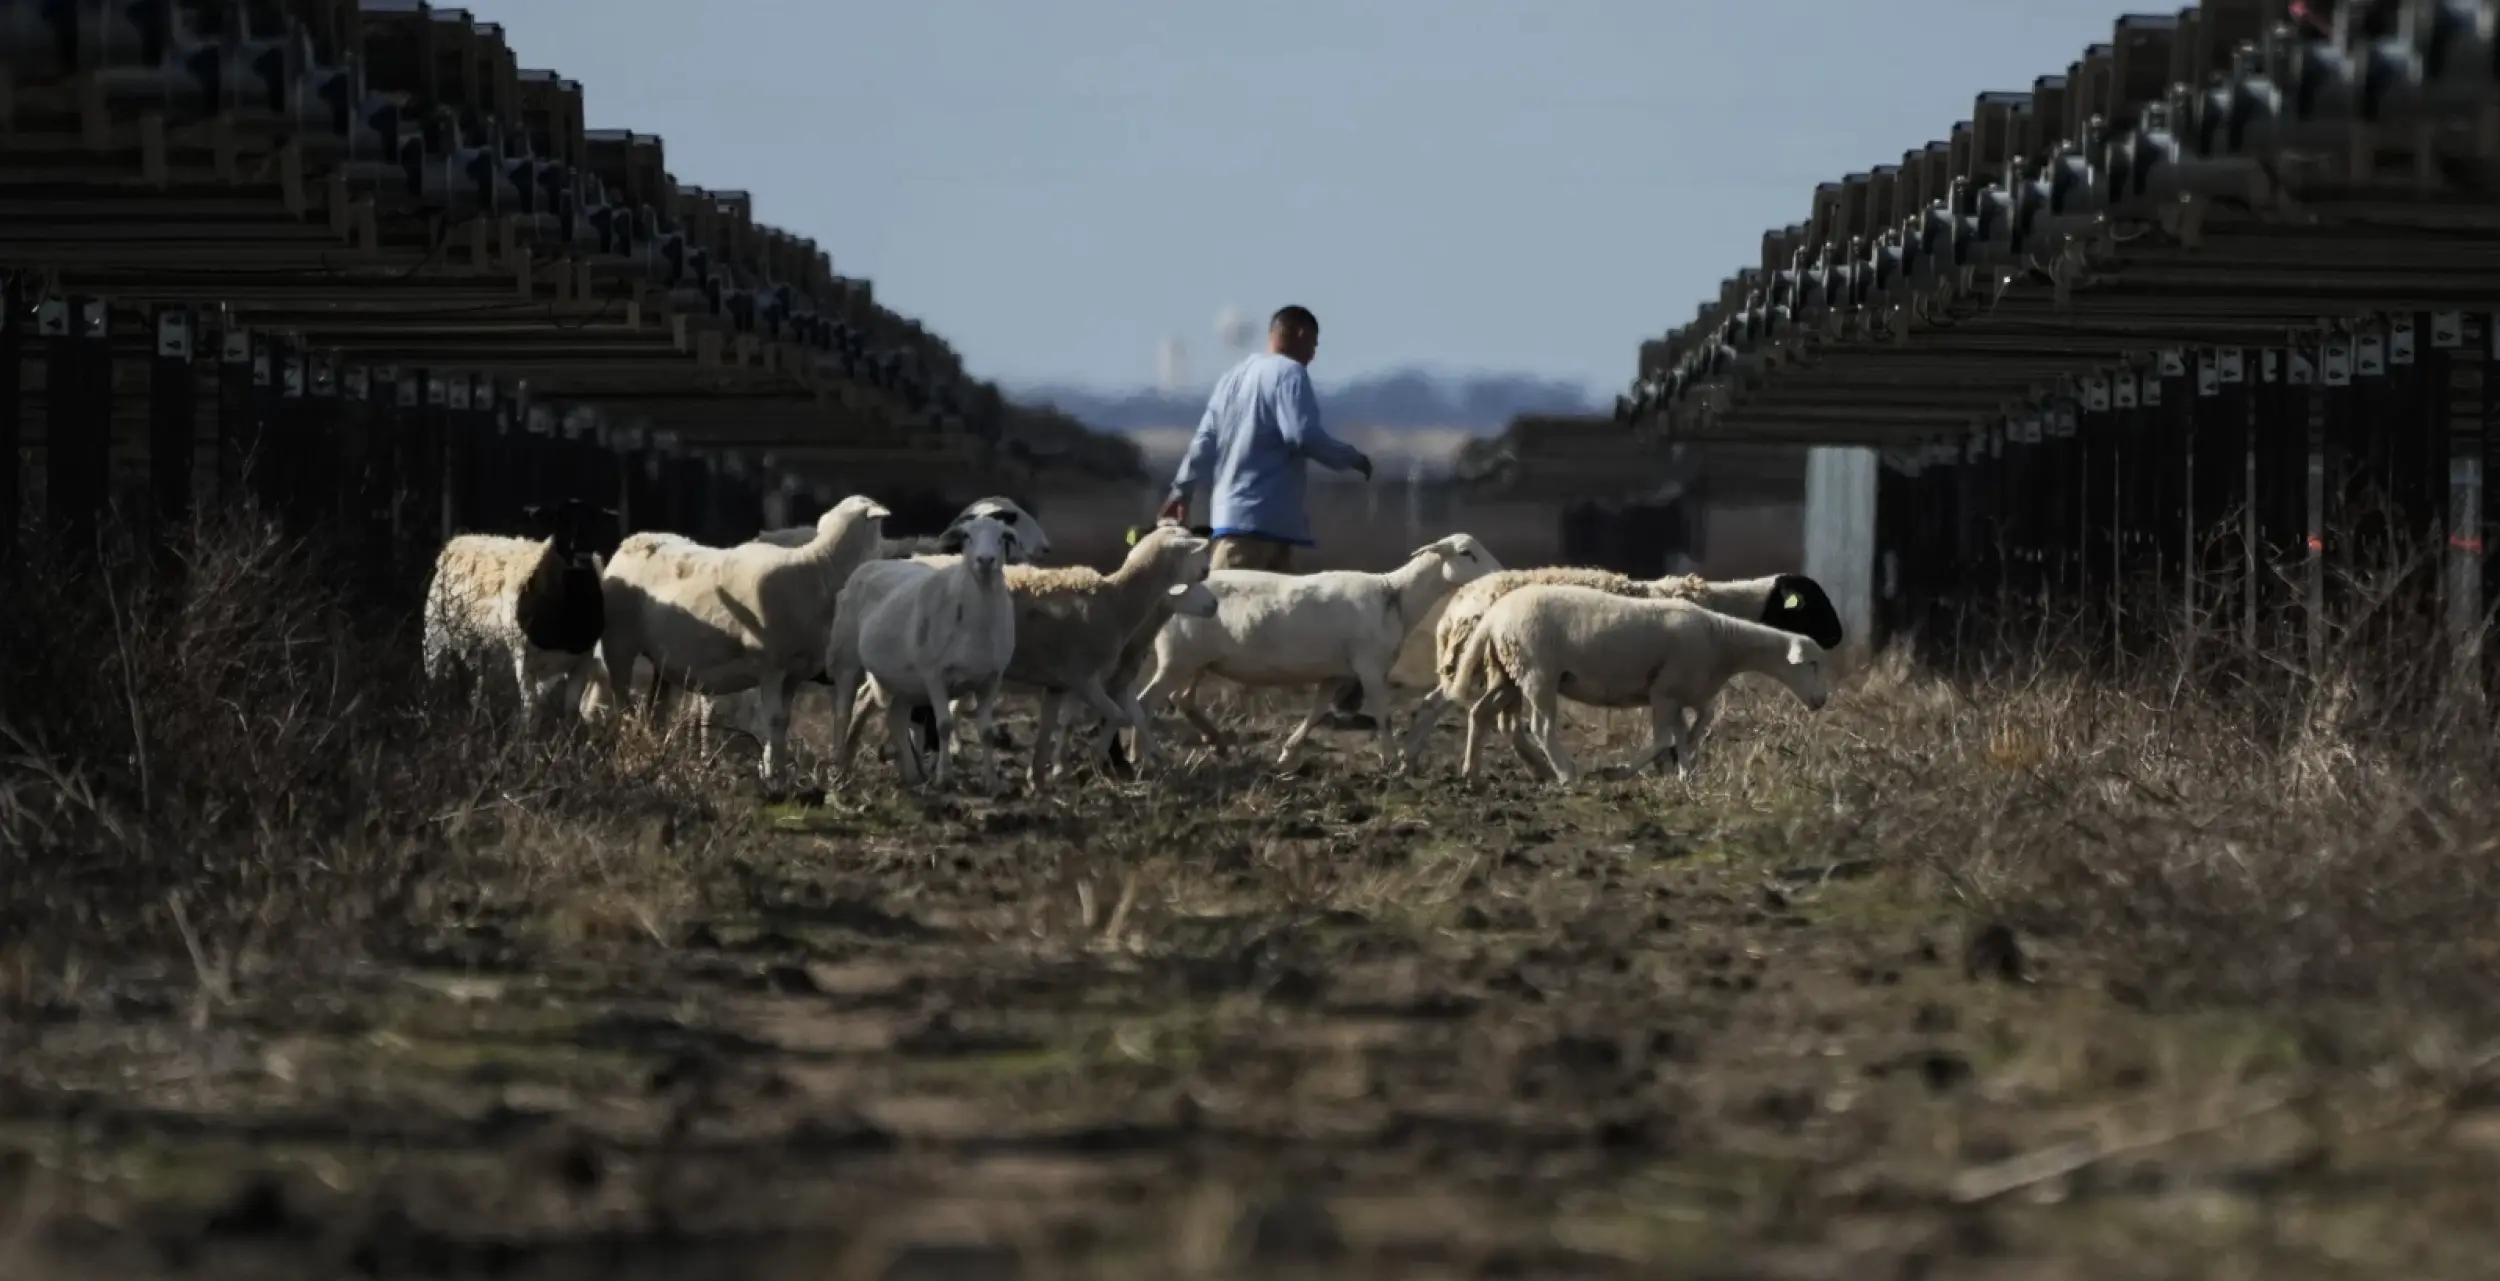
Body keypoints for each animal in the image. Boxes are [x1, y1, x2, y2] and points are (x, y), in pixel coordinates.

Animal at [422, 505, 612, 735]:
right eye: (562, 526)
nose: (583, 557)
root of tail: (459, 541)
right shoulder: (524, 661)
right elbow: (531, 710)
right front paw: (527, 740)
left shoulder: (580, 663)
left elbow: (570, 712)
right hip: (435, 635)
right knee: (435, 680)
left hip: (480, 651)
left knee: (476, 688)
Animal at [592, 492, 890, 780]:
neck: (819, 569)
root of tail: (632, 540)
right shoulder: (771, 665)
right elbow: (773, 720)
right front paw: (773, 775)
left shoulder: (794, 672)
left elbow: (785, 720)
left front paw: (777, 771)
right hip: (619, 643)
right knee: (621, 700)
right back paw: (625, 744)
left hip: (659, 659)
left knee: (656, 706)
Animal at [835, 510, 1020, 790]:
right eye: (967, 537)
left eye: (1001, 538)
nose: (985, 560)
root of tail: (873, 563)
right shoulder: (935, 675)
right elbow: (943, 725)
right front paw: (944, 777)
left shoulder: (991, 679)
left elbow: (987, 733)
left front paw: (992, 782)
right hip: (847, 659)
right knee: (845, 709)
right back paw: (837, 766)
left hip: (900, 678)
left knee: (892, 715)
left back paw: (909, 775)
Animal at [1140, 532, 1500, 770]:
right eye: (1467, 553)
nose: (1498, 574)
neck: (1395, 596)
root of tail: (1168, 591)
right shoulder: (1369, 667)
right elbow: (1382, 715)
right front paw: (1388, 758)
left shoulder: (1337, 673)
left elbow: (1316, 713)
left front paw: (1287, 755)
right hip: (1176, 659)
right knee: (1145, 703)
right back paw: (1145, 756)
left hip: (1196, 662)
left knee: (1182, 700)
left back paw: (1218, 743)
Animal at [1400, 570, 1850, 770]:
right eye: (1812, 602)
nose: (1839, 637)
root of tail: (1459, 602)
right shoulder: (1671, 685)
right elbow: (1684, 728)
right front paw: (1666, 764)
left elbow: (1692, 726)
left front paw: (1674, 764)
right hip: (1497, 666)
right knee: (1447, 707)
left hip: (1501, 672)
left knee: (1489, 718)